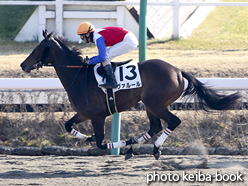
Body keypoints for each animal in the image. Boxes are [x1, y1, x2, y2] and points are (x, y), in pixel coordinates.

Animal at [20, 30, 241, 160]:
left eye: (38, 48)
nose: (23, 65)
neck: (79, 76)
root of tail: (178, 71)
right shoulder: (84, 113)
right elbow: (68, 126)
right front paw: (88, 137)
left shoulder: (98, 116)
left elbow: (102, 143)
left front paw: (120, 142)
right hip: (149, 105)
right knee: (155, 126)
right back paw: (136, 147)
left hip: (156, 104)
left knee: (174, 121)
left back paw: (151, 148)